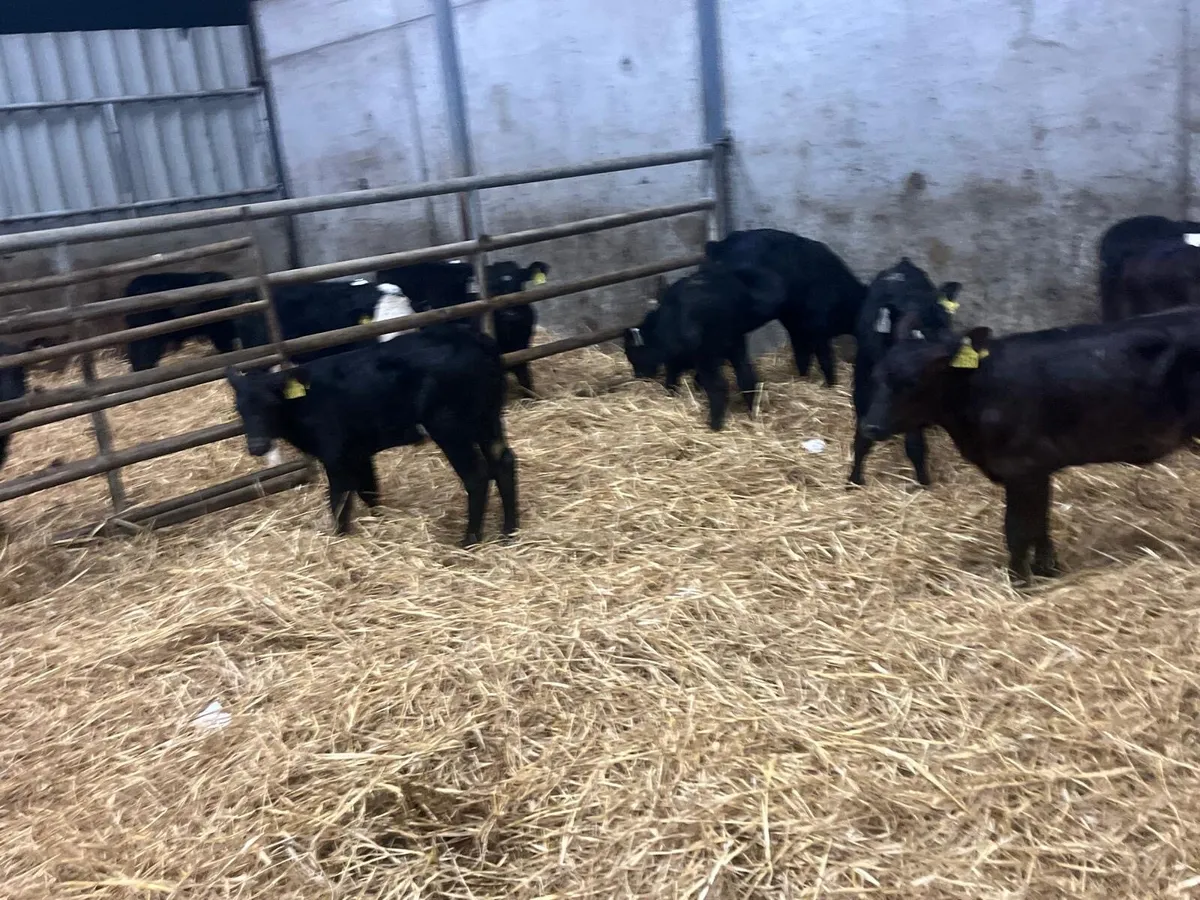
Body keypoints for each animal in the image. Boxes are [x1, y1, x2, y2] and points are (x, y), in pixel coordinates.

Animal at [224, 325, 518, 546]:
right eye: (239, 408)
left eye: (271, 405)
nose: (257, 446)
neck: (305, 403)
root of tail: (476, 338)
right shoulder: (359, 452)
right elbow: (369, 491)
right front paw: (380, 524)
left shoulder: (335, 455)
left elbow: (339, 501)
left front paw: (339, 539)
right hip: (487, 418)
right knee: (503, 461)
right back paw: (509, 531)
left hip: (450, 426)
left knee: (477, 476)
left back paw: (469, 540)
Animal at [623, 261, 784, 430]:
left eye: (632, 354)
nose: (639, 376)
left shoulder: (678, 355)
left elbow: (673, 374)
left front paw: (671, 392)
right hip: (736, 345)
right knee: (746, 377)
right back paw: (752, 413)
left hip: (708, 353)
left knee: (719, 387)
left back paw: (714, 425)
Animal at [703, 228, 868, 386]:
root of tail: (718, 246)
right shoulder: (818, 330)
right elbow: (824, 361)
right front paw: (831, 385)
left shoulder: (798, 330)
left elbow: (802, 358)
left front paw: (803, 379)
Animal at [848, 258, 962, 487]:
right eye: (913, 332)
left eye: (948, 324)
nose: (953, 349)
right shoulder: (862, 387)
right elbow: (862, 439)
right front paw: (854, 479)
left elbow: (915, 444)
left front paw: (923, 481)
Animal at [858, 307, 1200, 582]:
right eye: (877, 376)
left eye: (914, 382)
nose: (871, 426)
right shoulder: (1039, 469)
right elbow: (1040, 523)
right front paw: (1047, 570)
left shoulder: (1022, 468)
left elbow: (1018, 530)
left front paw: (1020, 581)